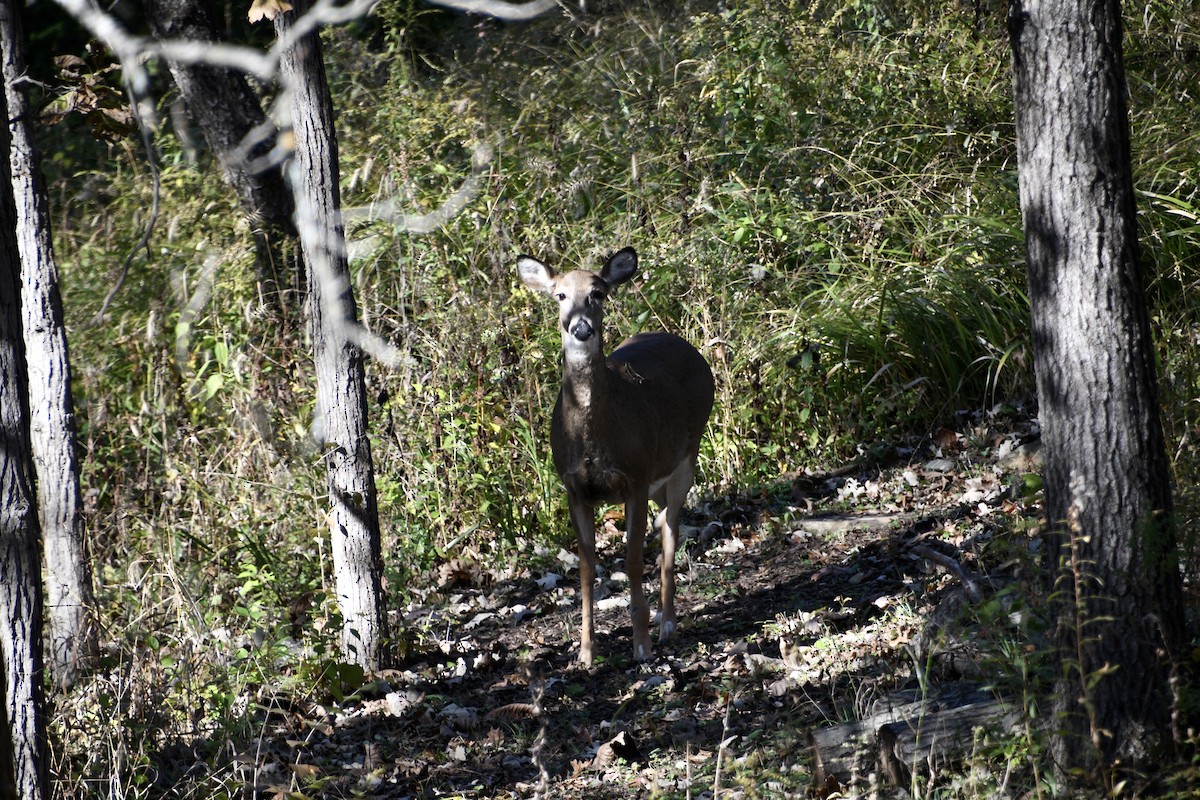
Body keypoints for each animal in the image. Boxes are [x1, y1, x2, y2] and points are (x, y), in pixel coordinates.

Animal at [517, 247, 715, 664]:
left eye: (598, 293)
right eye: (560, 294)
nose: (580, 329)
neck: (595, 437)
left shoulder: (635, 477)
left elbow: (633, 560)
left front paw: (640, 645)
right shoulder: (574, 488)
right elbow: (586, 570)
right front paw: (586, 652)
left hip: (686, 455)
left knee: (671, 532)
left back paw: (666, 624)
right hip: (661, 476)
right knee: (664, 522)